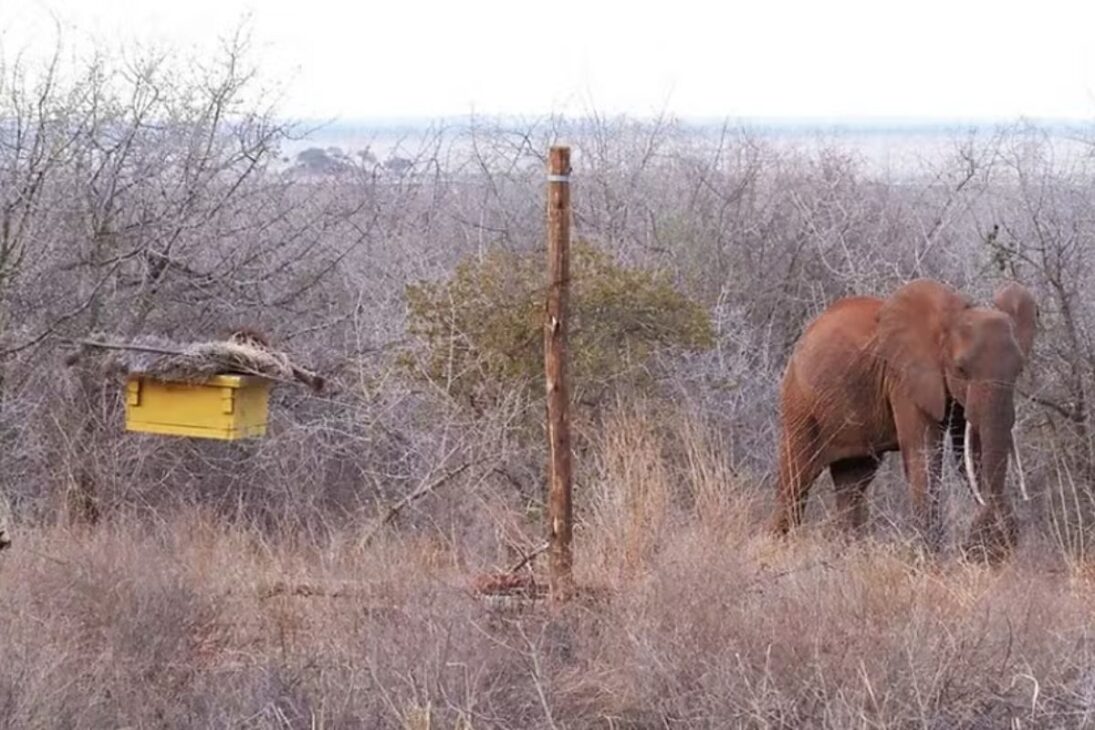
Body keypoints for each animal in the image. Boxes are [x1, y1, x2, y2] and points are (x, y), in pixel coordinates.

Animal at [770, 278, 1037, 560]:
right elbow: (925, 455)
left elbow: (972, 453)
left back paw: (846, 551)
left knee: (853, 481)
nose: (993, 541)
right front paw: (929, 559)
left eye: (1019, 370)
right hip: (798, 401)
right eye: (961, 369)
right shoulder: (903, 377)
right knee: (797, 477)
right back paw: (780, 544)